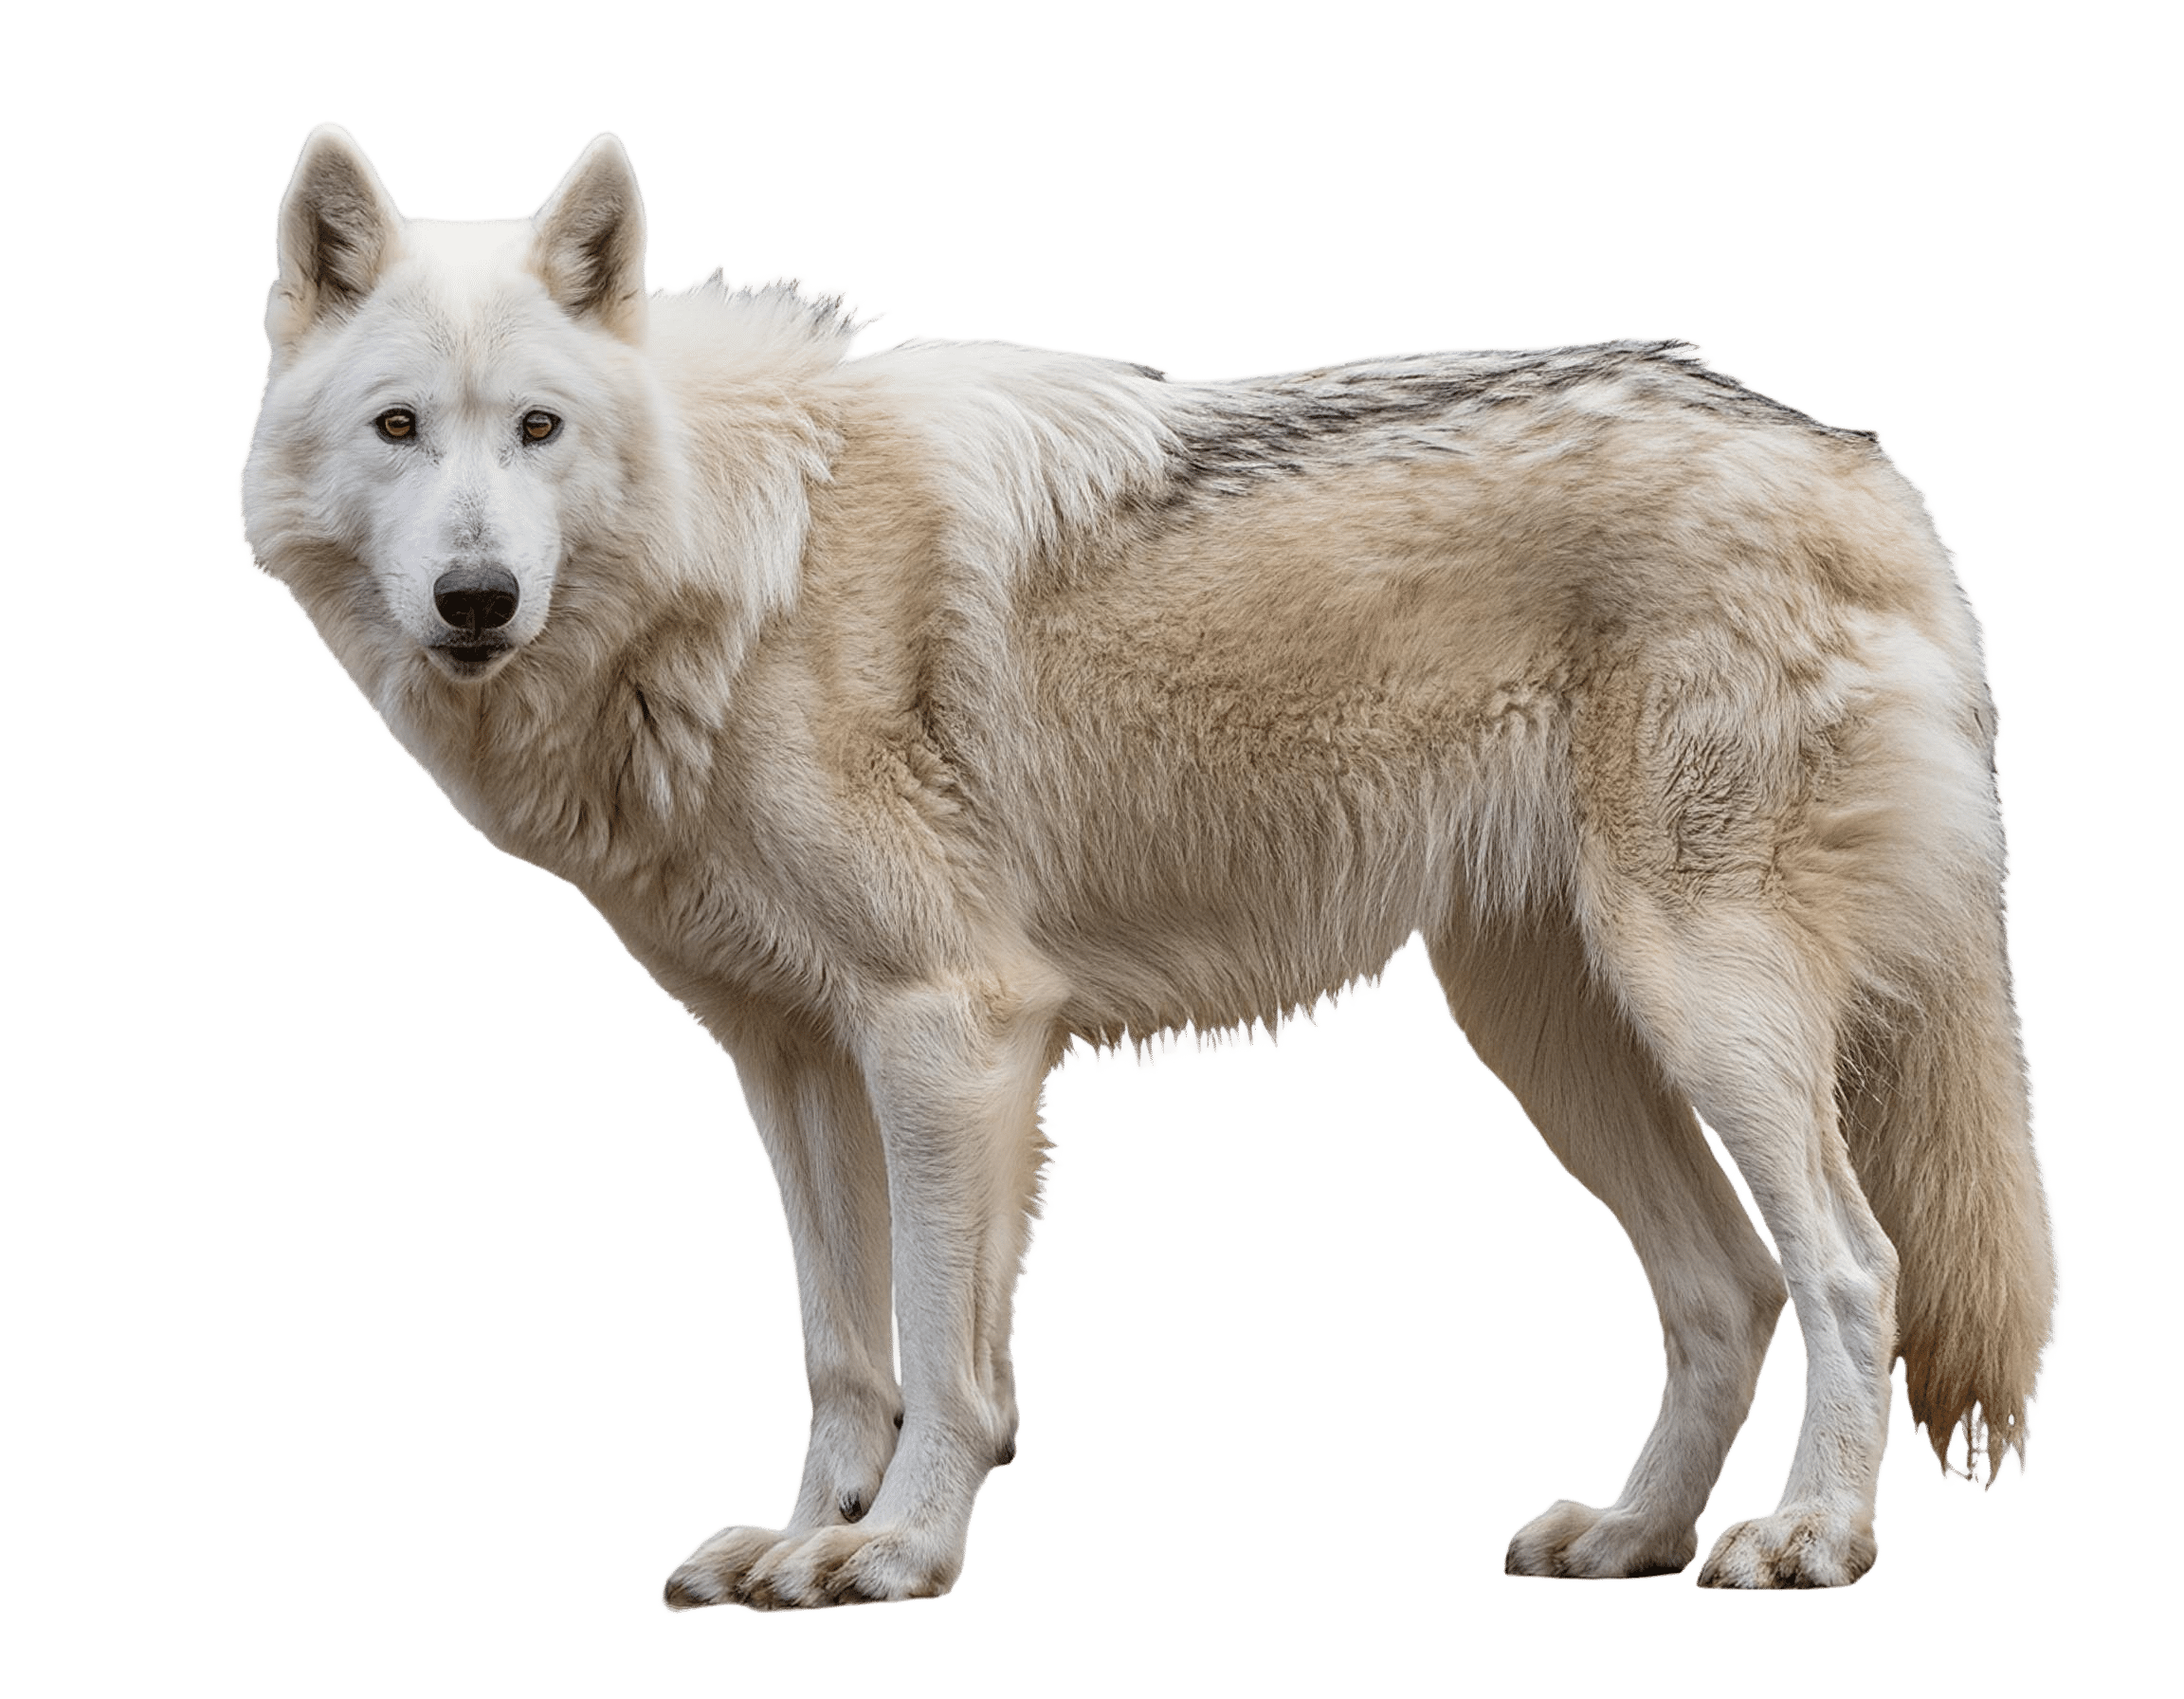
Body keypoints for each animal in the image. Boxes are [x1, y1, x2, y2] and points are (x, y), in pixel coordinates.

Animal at [243, 125, 2054, 1606]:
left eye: (536, 429)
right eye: (400, 429)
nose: (475, 597)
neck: (746, 560)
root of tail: (1856, 462)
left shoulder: (951, 1029)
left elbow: (942, 1354)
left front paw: (896, 1552)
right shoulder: (792, 1057)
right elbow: (839, 1352)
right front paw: (802, 1537)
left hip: (1698, 1001)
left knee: (1849, 1265)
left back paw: (1808, 1539)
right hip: (1552, 1036)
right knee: (1725, 1286)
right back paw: (1627, 1535)